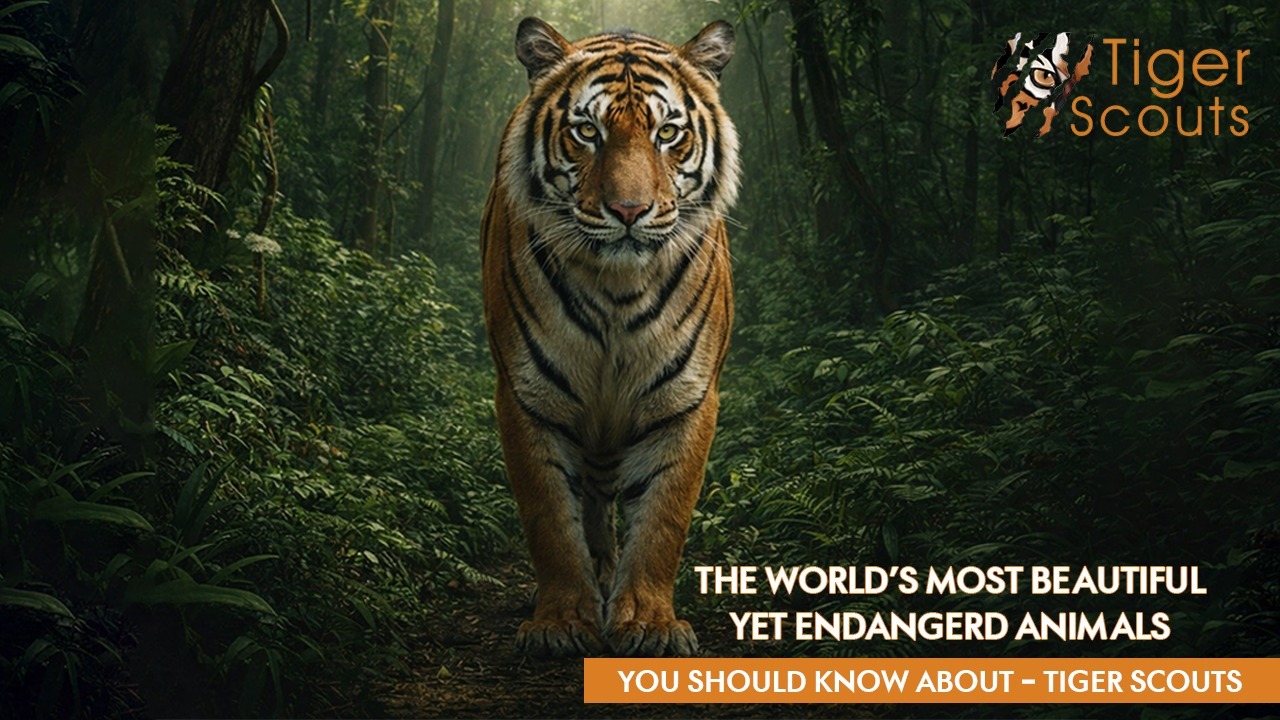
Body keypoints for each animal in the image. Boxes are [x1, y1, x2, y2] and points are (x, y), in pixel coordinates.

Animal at [480, 17, 739, 658]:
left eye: (668, 133)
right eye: (586, 132)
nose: (628, 210)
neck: (616, 291)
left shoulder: (686, 398)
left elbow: (663, 517)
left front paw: (649, 624)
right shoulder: (527, 394)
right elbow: (549, 515)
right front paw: (559, 622)